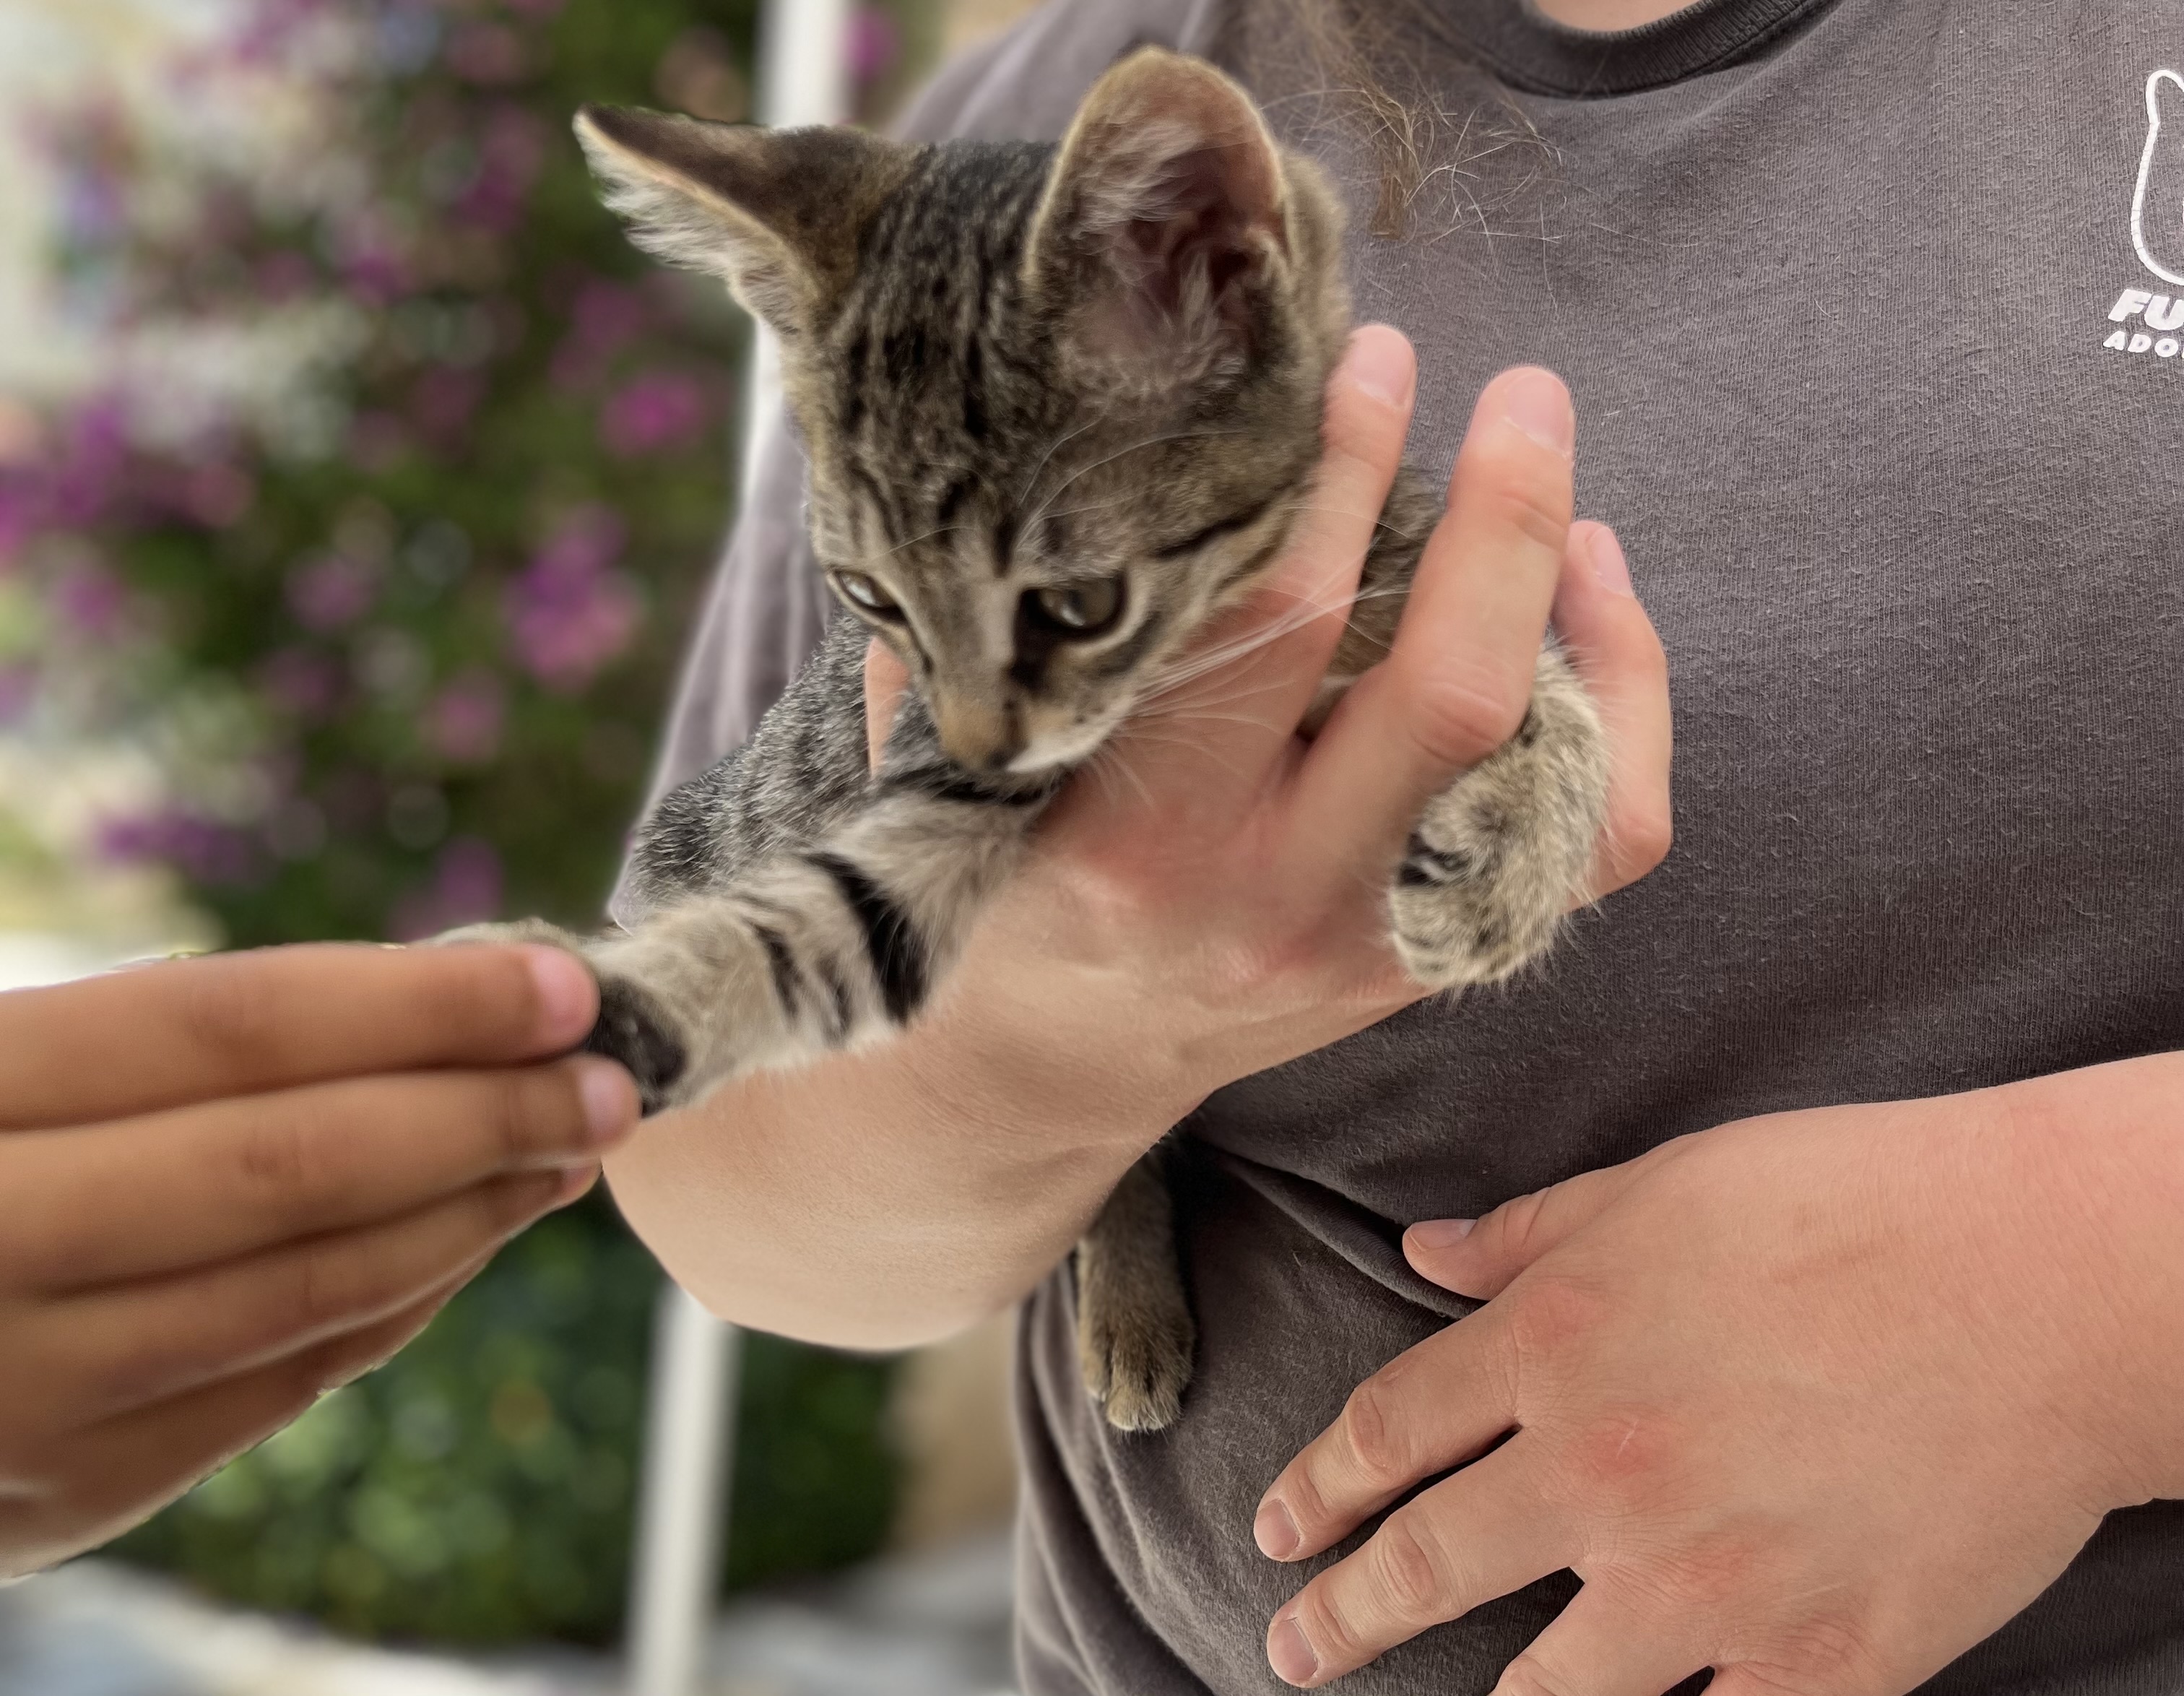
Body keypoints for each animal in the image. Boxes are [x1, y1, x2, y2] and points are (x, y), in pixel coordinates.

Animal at [461, 46, 1616, 1433]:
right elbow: (806, 928)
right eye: (870, 598)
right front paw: (589, 1002)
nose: (978, 742)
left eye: (1076, 605)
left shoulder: (1409, 578)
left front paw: (1518, 851)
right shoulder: (918, 793)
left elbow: (1555, 696)